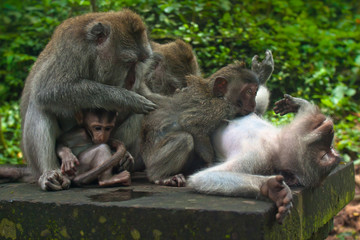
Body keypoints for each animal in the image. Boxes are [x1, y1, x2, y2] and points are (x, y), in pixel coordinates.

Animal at [19, 9, 155, 191]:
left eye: (140, 61)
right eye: (129, 62)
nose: (132, 80)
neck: (93, 55)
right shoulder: (71, 49)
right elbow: (48, 89)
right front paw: (127, 99)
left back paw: (121, 159)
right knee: (39, 104)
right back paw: (50, 173)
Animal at [187, 94, 342, 223]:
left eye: (324, 155)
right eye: (328, 152)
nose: (330, 130)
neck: (275, 142)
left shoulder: (258, 157)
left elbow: (202, 178)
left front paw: (270, 188)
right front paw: (297, 104)